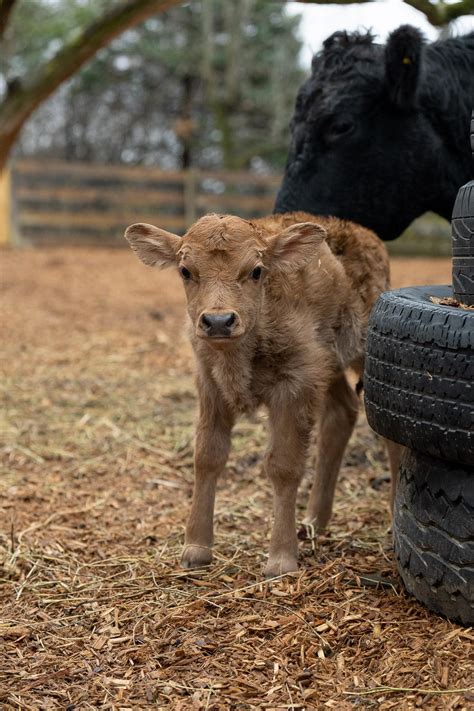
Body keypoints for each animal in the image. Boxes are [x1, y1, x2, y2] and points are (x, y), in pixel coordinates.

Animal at [126, 211, 400, 580]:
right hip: (329, 368)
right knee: (341, 413)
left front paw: (281, 559)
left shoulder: (295, 386)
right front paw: (196, 549)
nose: (218, 321)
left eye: (256, 270)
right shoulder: (210, 385)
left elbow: (283, 465)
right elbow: (207, 457)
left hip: (365, 354)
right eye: (185, 271)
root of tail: (366, 237)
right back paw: (314, 522)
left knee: (388, 428)